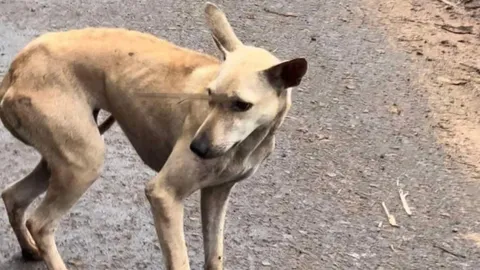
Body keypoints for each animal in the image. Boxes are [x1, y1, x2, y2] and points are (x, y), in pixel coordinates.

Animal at [0, 2, 308, 270]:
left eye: (242, 105)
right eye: (209, 94)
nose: (197, 148)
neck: (247, 144)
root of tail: (17, 66)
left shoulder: (216, 194)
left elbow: (214, 256)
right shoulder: (164, 195)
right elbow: (180, 260)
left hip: (63, 161)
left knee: (13, 196)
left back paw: (29, 250)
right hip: (83, 164)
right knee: (40, 223)